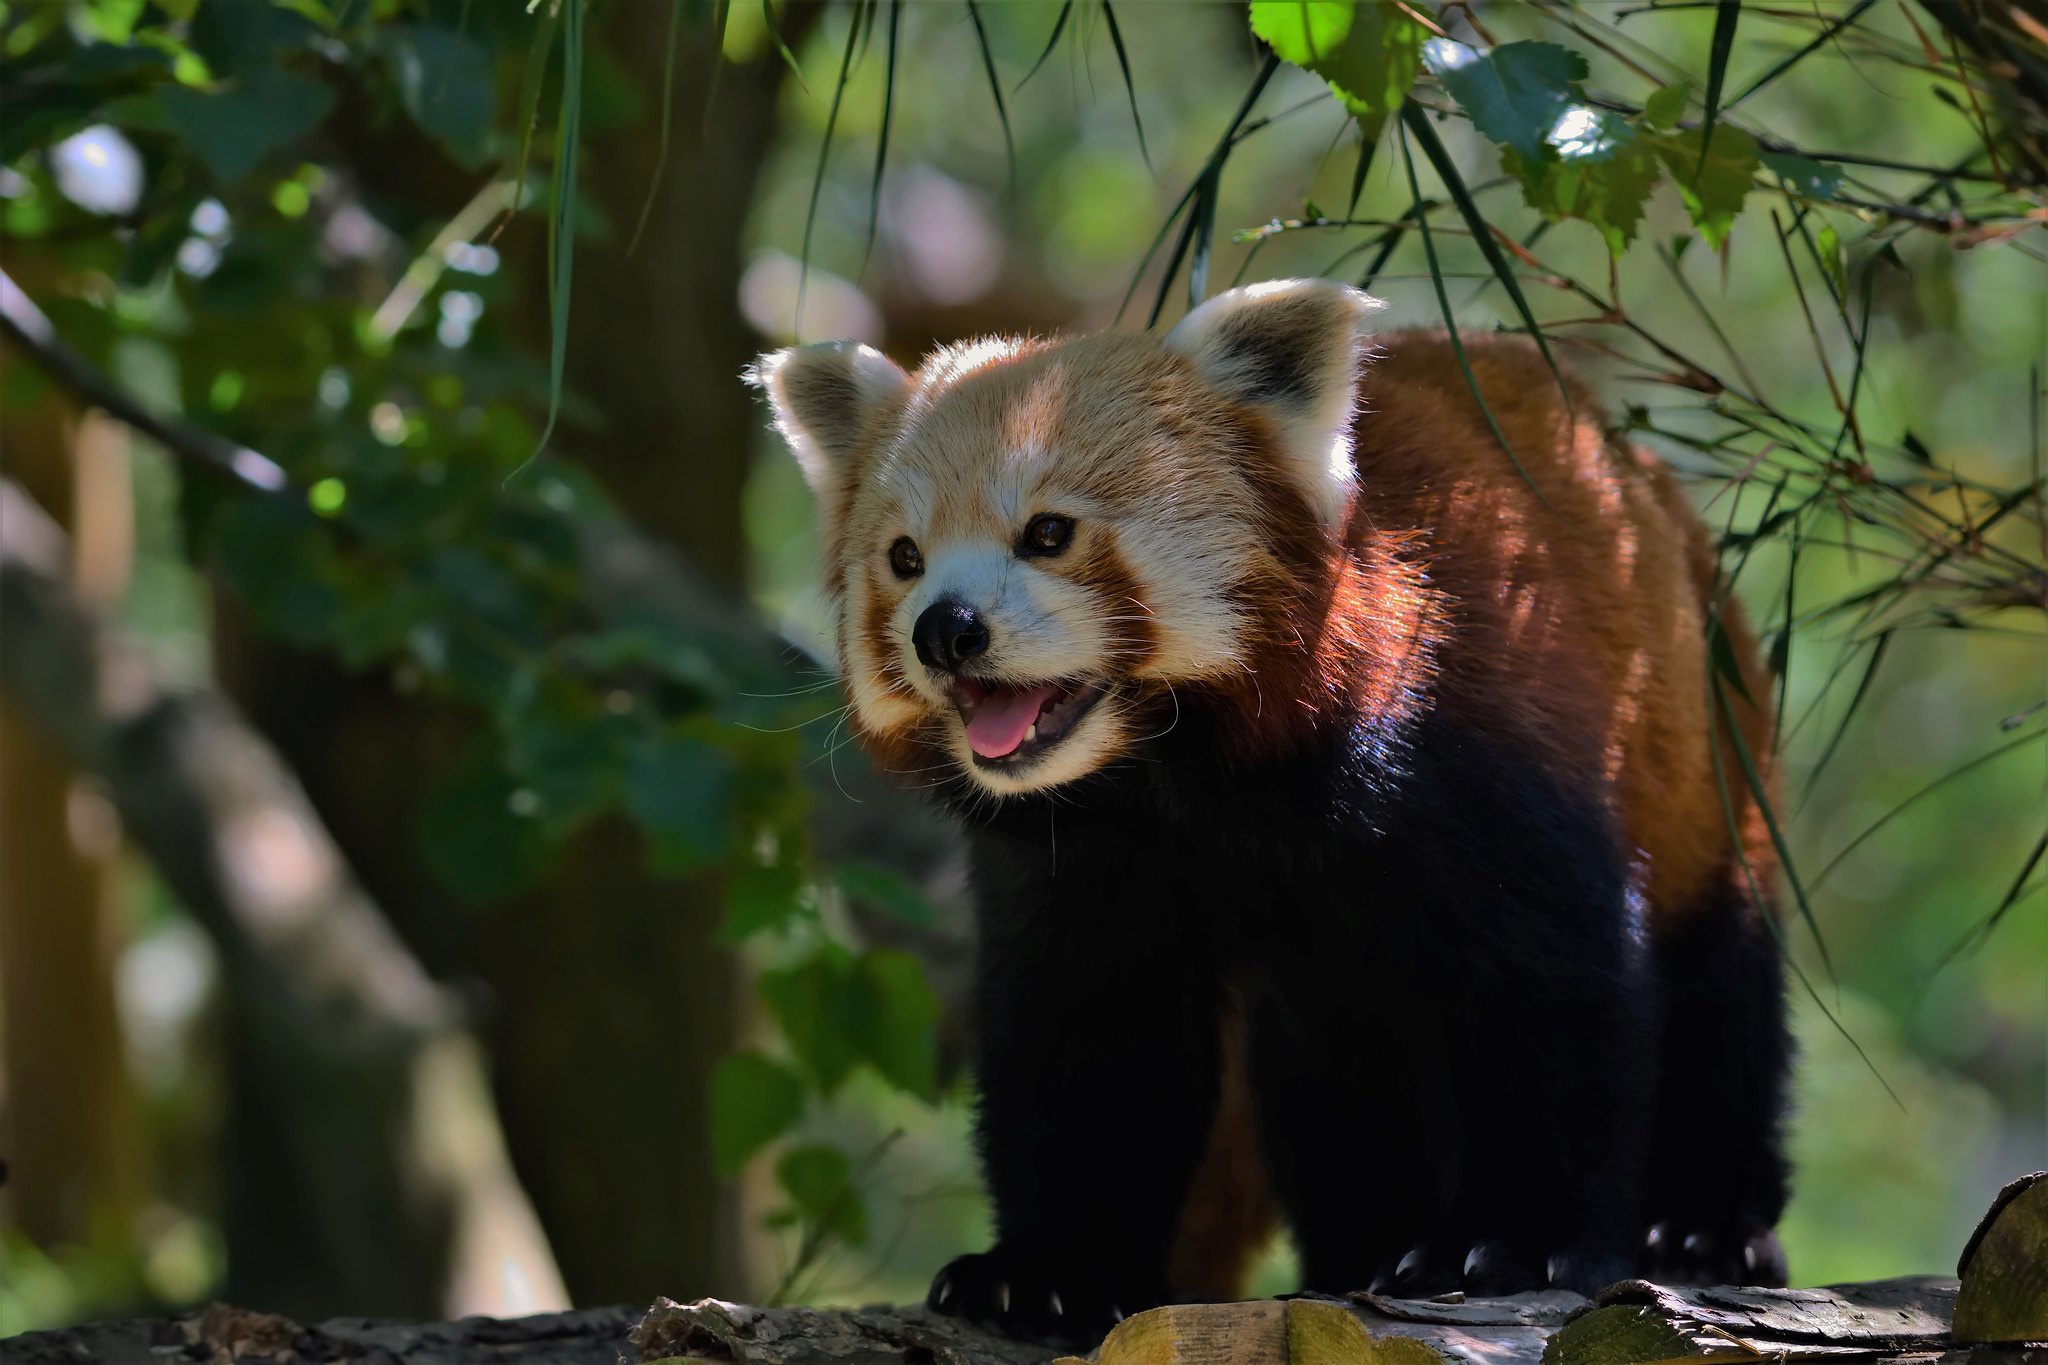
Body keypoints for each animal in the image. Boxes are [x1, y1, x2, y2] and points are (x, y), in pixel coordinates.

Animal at [753, 280, 1794, 1342]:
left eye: (1047, 532)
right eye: (905, 557)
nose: (946, 630)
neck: (1192, 779)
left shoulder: (1477, 735)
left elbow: (1550, 989)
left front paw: (1512, 1245)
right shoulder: (1085, 863)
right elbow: (1091, 1038)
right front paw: (1047, 1270)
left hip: (1710, 765)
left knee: (1721, 998)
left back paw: (1703, 1227)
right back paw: (1362, 1242)